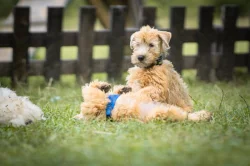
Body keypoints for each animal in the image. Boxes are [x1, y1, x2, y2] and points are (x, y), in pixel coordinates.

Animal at [75, 26, 212, 122]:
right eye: (137, 45)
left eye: (151, 45)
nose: (140, 57)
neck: (147, 68)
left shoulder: (158, 88)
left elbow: (143, 91)